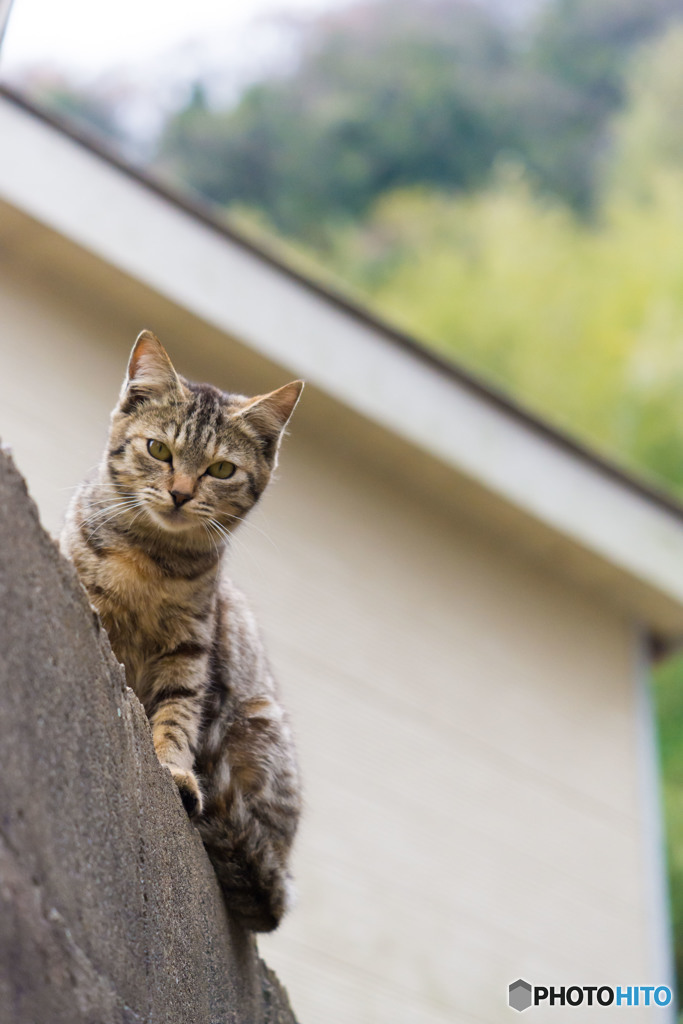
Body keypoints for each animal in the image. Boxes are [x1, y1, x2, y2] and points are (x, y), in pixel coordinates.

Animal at [60, 331, 301, 933]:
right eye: (159, 450)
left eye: (221, 470)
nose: (180, 492)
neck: (153, 558)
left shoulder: (190, 648)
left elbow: (177, 717)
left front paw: (173, 769)